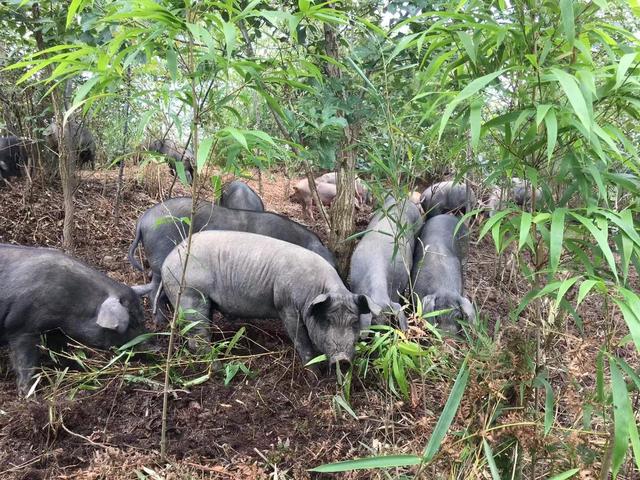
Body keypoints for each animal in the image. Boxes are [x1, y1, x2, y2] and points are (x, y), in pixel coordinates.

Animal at [0, 244, 146, 394]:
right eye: (132, 323)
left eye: (142, 318)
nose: (152, 348)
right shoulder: (22, 327)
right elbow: (25, 362)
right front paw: (29, 394)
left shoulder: (55, 331)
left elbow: (61, 351)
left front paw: (81, 368)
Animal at [161, 232, 380, 364]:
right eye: (327, 321)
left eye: (354, 322)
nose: (342, 359)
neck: (314, 289)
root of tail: (167, 262)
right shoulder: (286, 305)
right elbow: (300, 340)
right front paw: (313, 370)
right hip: (190, 295)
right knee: (198, 337)